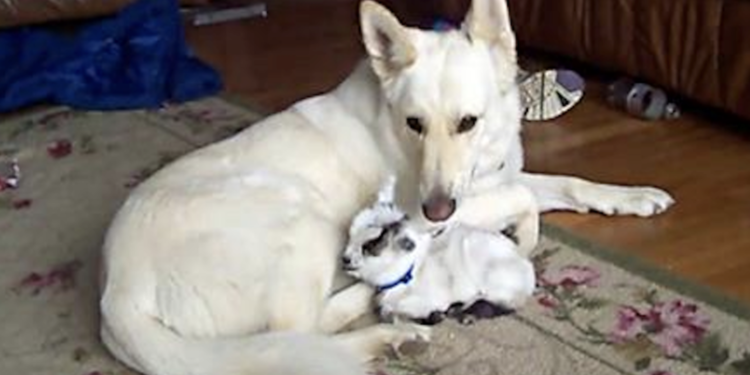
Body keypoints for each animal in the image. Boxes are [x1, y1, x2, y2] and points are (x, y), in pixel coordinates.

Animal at [100, 0, 676, 375]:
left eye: (468, 122)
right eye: (415, 123)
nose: (437, 211)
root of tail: (116, 292)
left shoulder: (488, 180)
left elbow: (564, 183)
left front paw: (633, 197)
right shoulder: (432, 210)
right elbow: (526, 197)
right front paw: (521, 235)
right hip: (303, 224)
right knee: (298, 334)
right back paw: (386, 320)